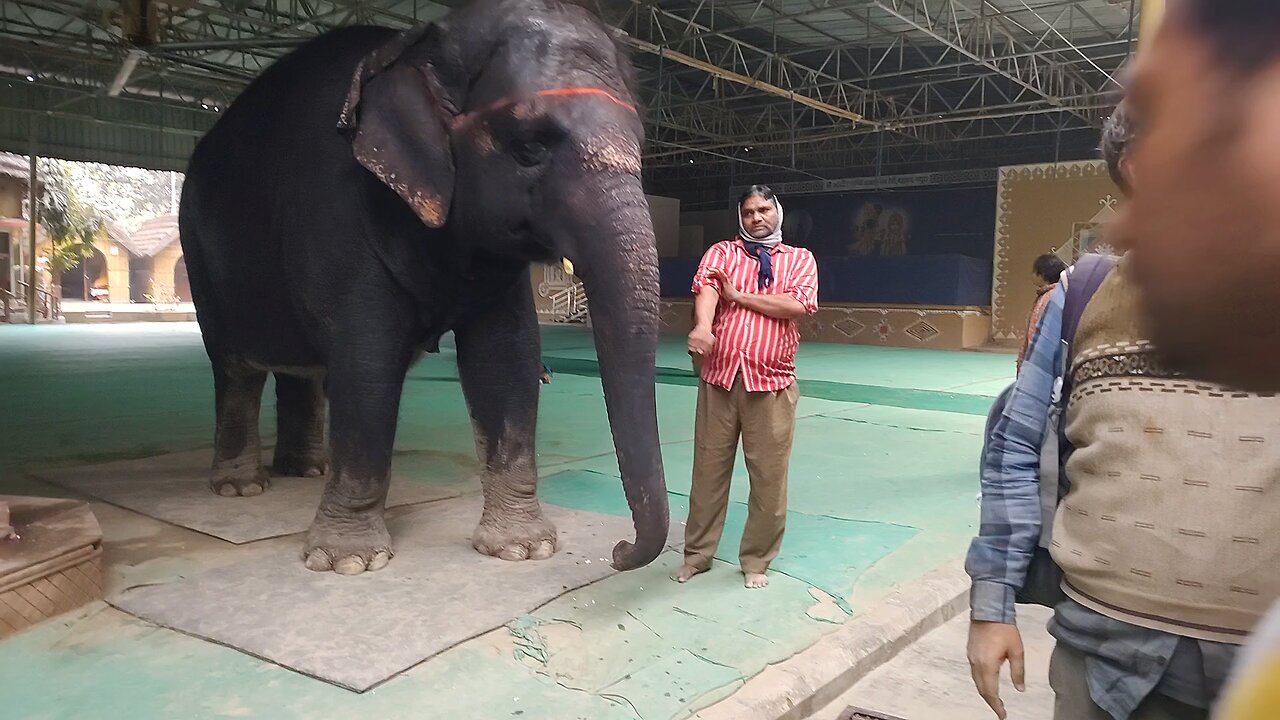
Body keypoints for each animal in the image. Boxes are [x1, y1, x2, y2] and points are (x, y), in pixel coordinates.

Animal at [177, 0, 670, 571]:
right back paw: (242, 488)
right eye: (529, 148)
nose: (618, 551)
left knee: (301, 368)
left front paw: (522, 549)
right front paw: (348, 562)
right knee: (235, 367)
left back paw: (304, 472)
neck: (413, 47)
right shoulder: (335, 211)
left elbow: (507, 356)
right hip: (199, 252)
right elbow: (366, 359)